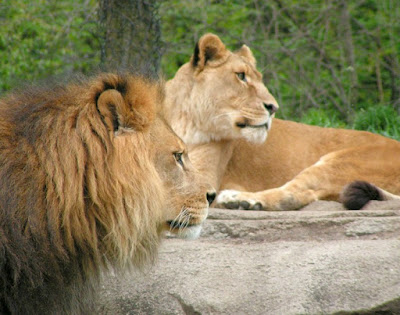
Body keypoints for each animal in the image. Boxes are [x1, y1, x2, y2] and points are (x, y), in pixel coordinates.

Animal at [162, 33, 400, 211]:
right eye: (241, 76)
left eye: (259, 79)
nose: (273, 107)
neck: (184, 121)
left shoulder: (205, 177)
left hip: (343, 161)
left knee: (295, 194)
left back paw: (240, 200)